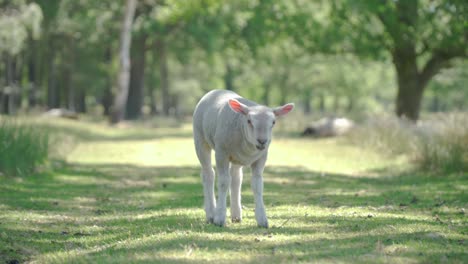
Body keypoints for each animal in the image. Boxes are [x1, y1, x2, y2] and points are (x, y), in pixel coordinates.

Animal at [190, 89, 292, 227]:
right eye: (249, 121)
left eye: (273, 122)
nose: (262, 141)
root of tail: (216, 90)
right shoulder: (221, 152)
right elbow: (223, 182)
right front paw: (219, 218)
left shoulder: (261, 157)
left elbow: (257, 185)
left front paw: (262, 219)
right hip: (200, 139)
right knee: (208, 174)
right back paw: (211, 214)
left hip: (237, 156)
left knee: (236, 178)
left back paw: (236, 215)